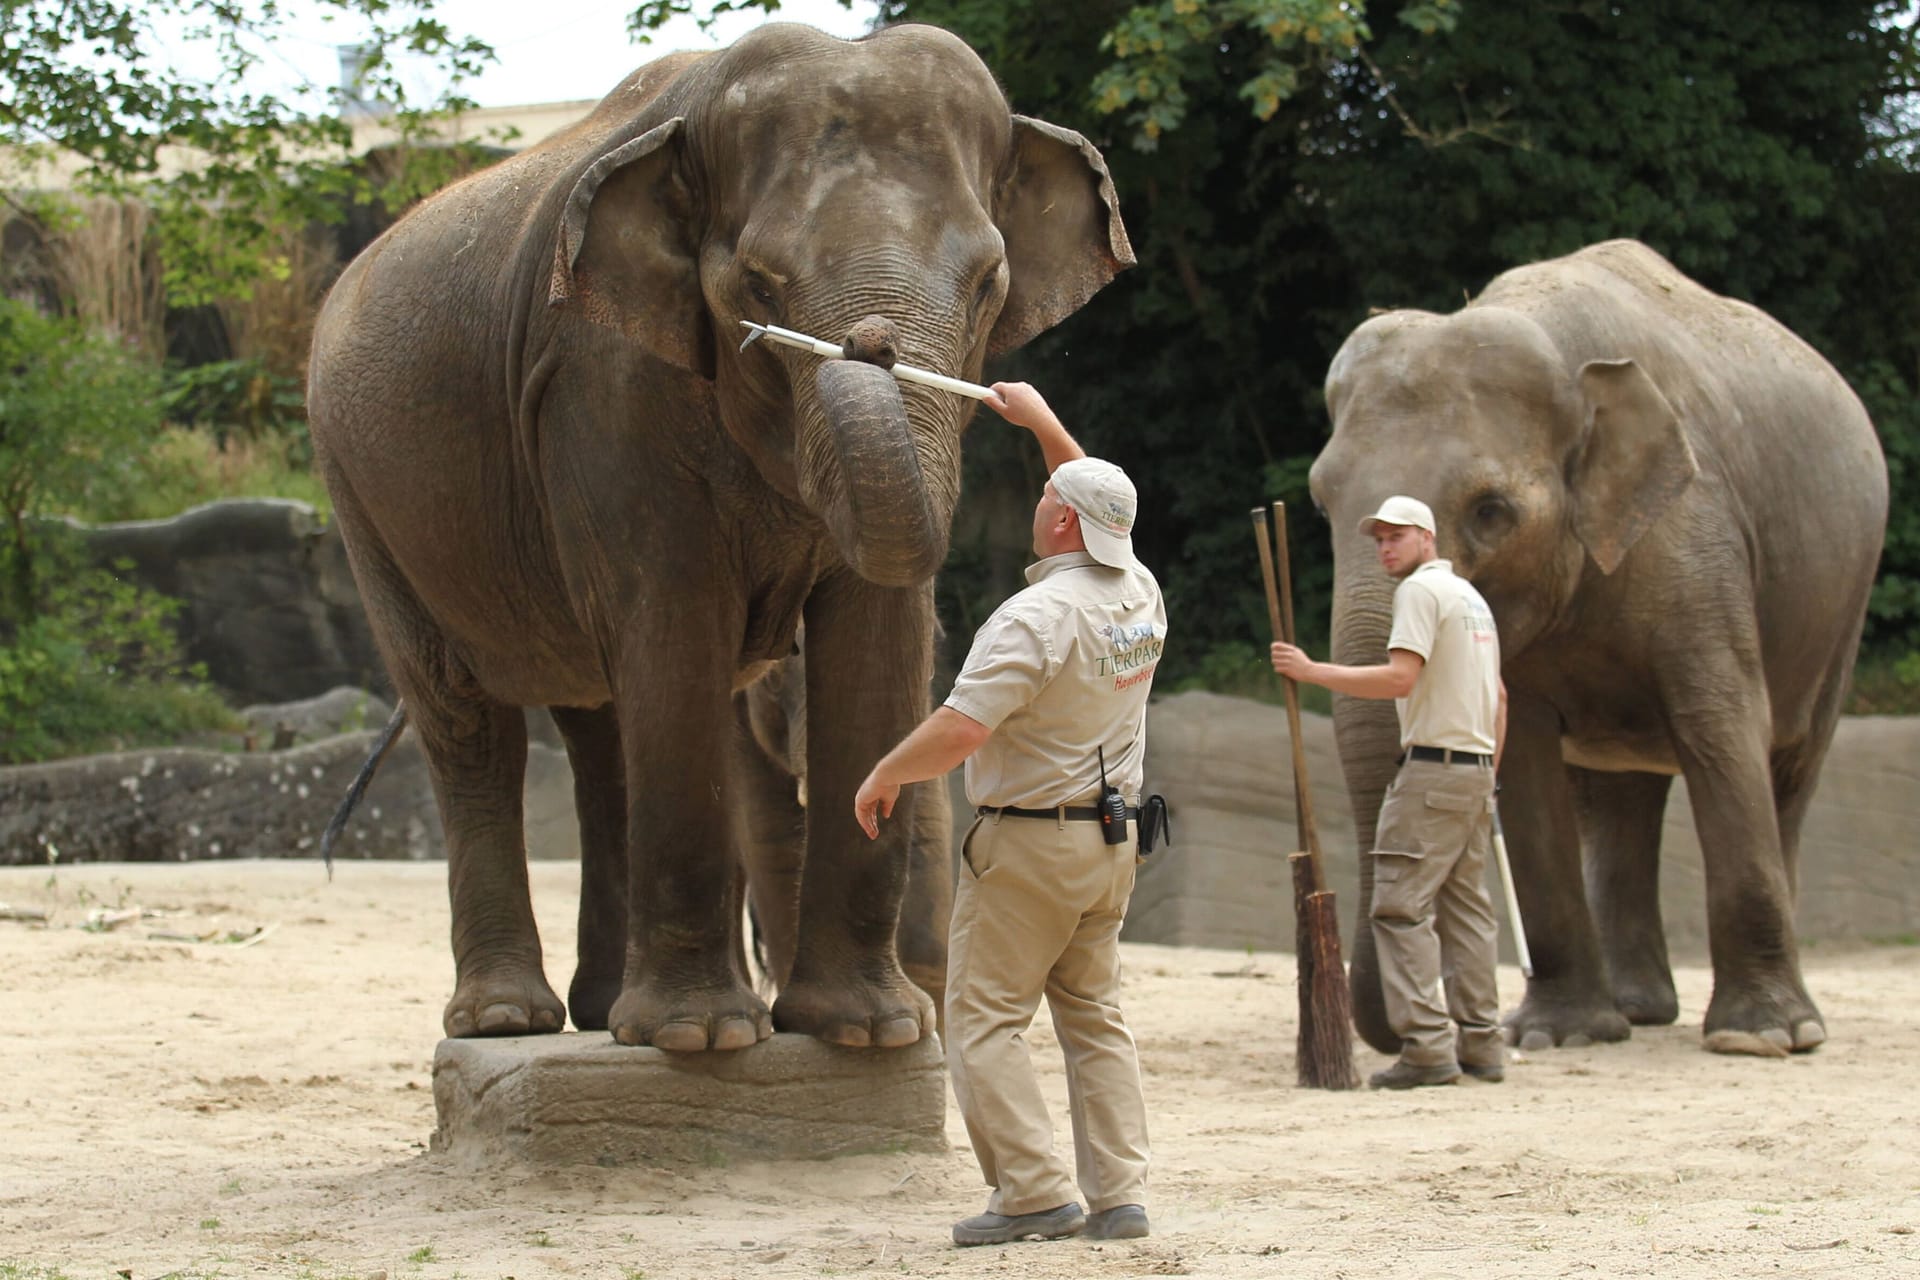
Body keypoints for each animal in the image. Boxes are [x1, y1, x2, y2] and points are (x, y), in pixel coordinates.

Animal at [307, 22, 1128, 1051]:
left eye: (989, 285)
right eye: (756, 288)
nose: (867, 344)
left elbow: (879, 635)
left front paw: (866, 1034)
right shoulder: (603, 382)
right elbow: (676, 620)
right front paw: (704, 1040)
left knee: (597, 729)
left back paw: (598, 1012)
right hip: (362, 499)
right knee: (466, 717)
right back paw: (507, 1022)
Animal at [1313, 239, 1881, 1059]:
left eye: (1491, 511)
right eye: (1321, 502)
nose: (1419, 1022)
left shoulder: (1698, 535)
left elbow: (1722, 731)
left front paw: (1760, 1039)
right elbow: (1522, 764)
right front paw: (1557, 1035)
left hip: (1842, 603)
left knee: (1789, 771)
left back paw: (1795, 1023)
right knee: (1618, 798)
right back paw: (1637, 1012)